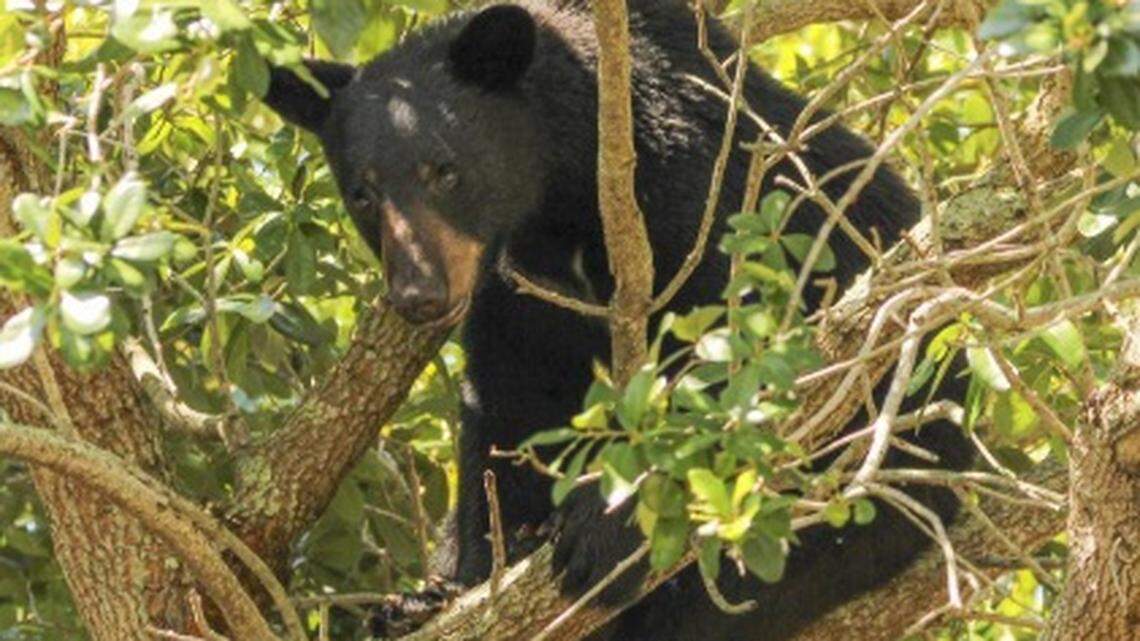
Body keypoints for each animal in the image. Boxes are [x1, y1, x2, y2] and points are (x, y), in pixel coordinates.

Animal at [262, 2, 972, 639]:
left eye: (445, 170)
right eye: (362, 193)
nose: (420, 295)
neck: (563, 201)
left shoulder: (708, 202)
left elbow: (747, 360)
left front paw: (604, 529)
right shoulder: (517, 292)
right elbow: (506, 411)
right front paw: (464, 578)